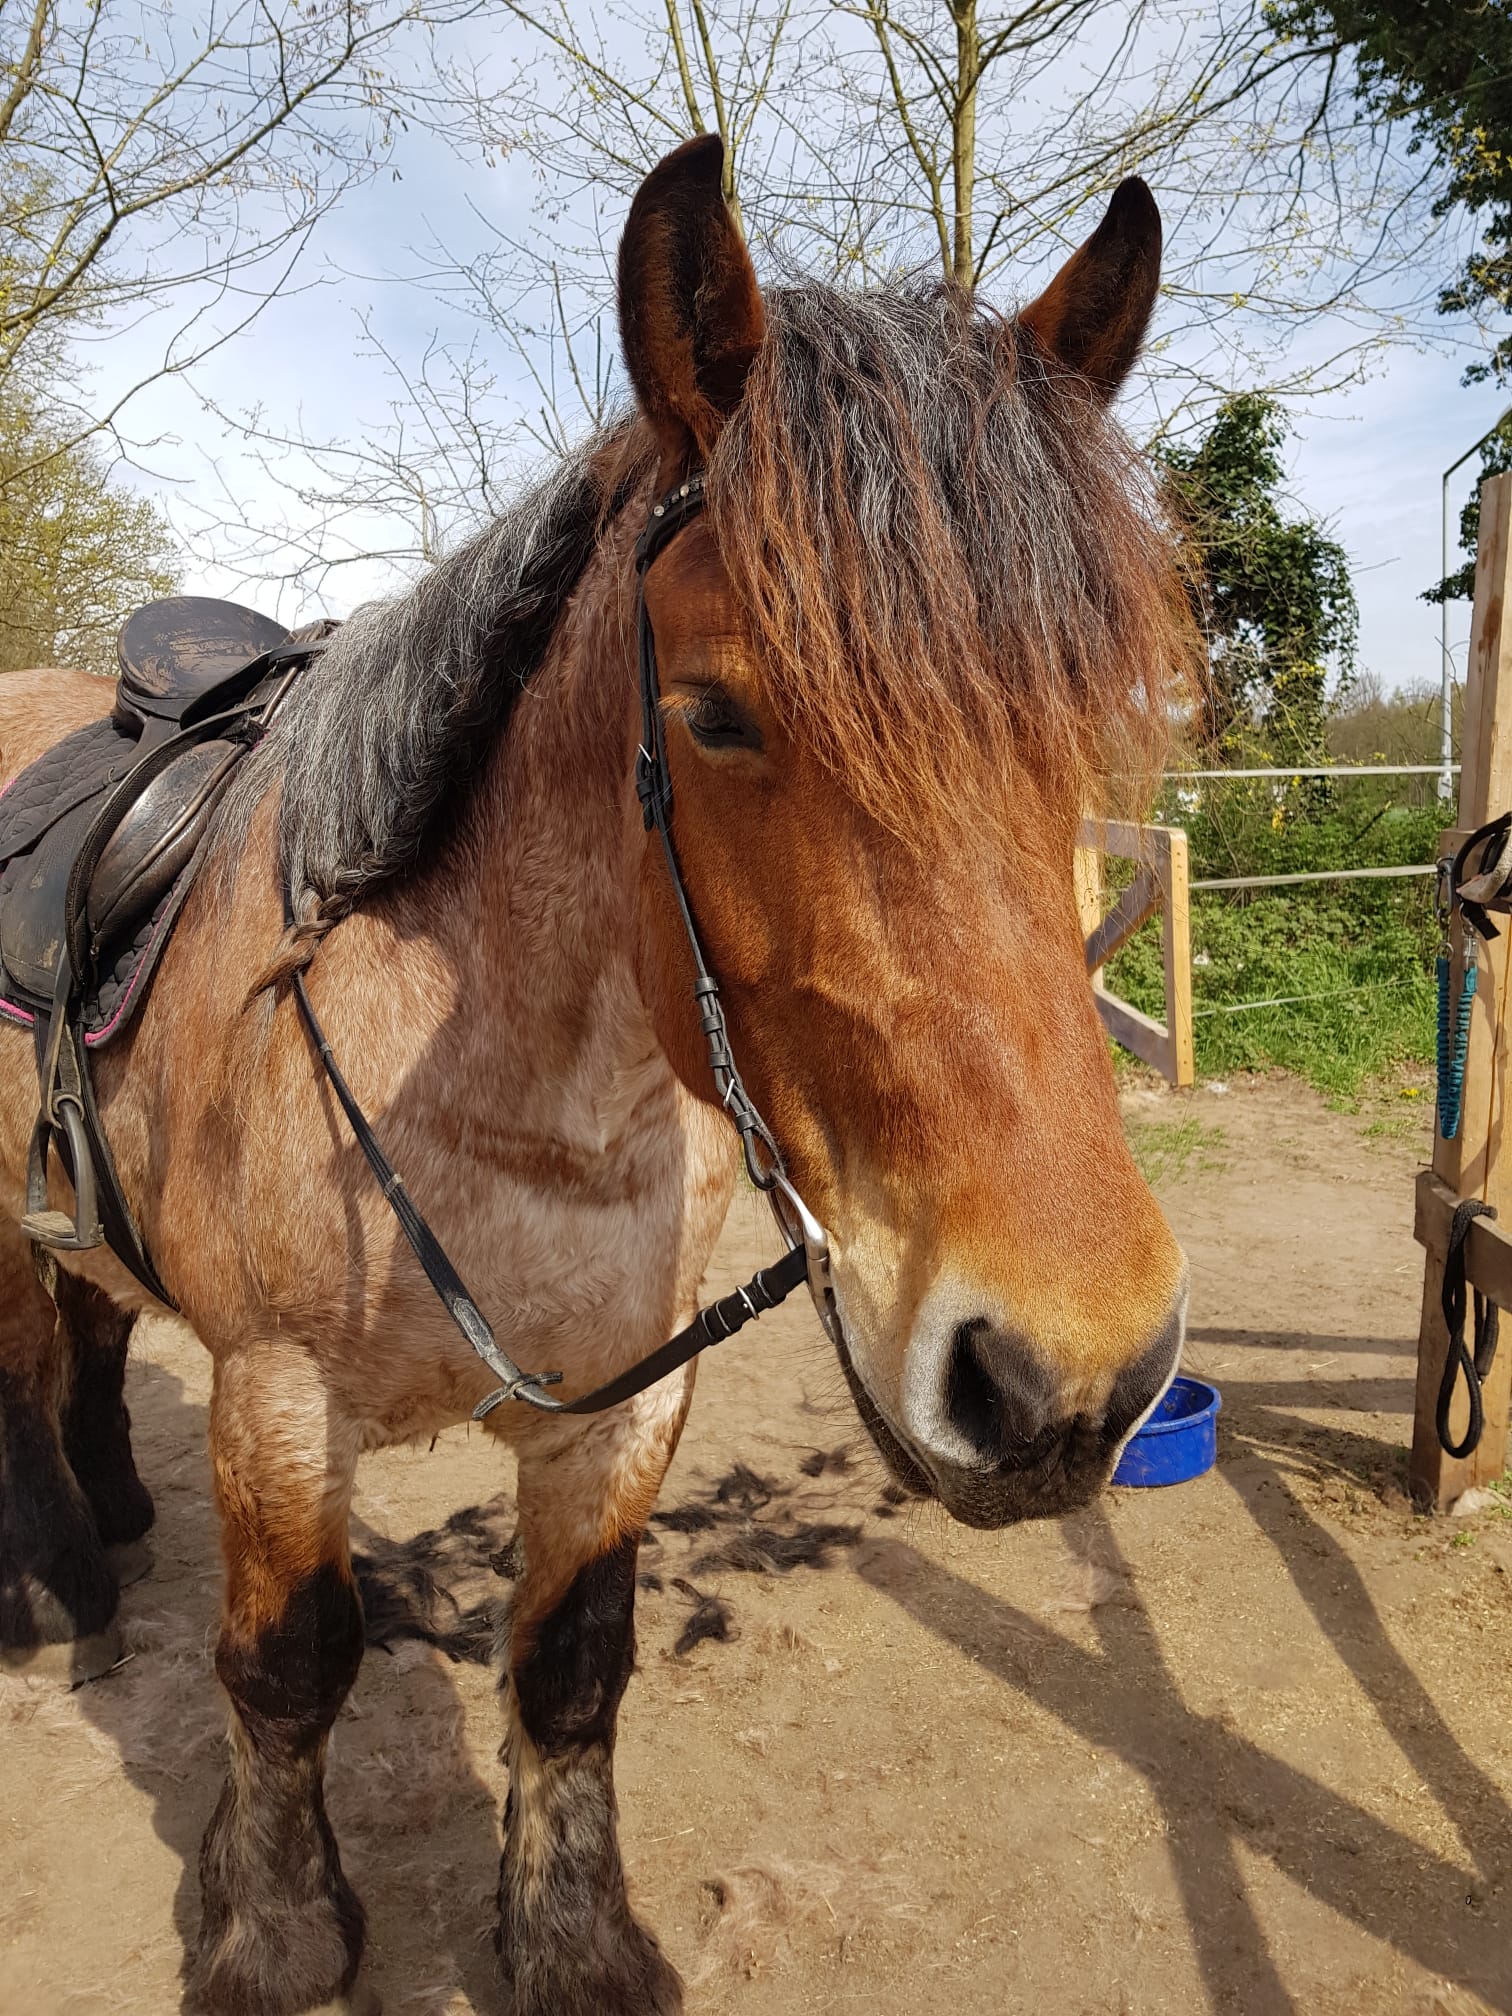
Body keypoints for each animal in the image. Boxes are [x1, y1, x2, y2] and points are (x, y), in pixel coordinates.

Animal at [0, 134, 1192, 2015]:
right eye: (715, 716)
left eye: (1088, 717)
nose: (1066, 1378)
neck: (519, 1104)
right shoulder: (278, 1403)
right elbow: (284, 1670)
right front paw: (274, 1932)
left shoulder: (623, 1410)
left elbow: (571, 1668)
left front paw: (571, 1940)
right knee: (24, 1369)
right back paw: (54, 1587)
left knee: (97, 1336)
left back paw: (113, 1517)